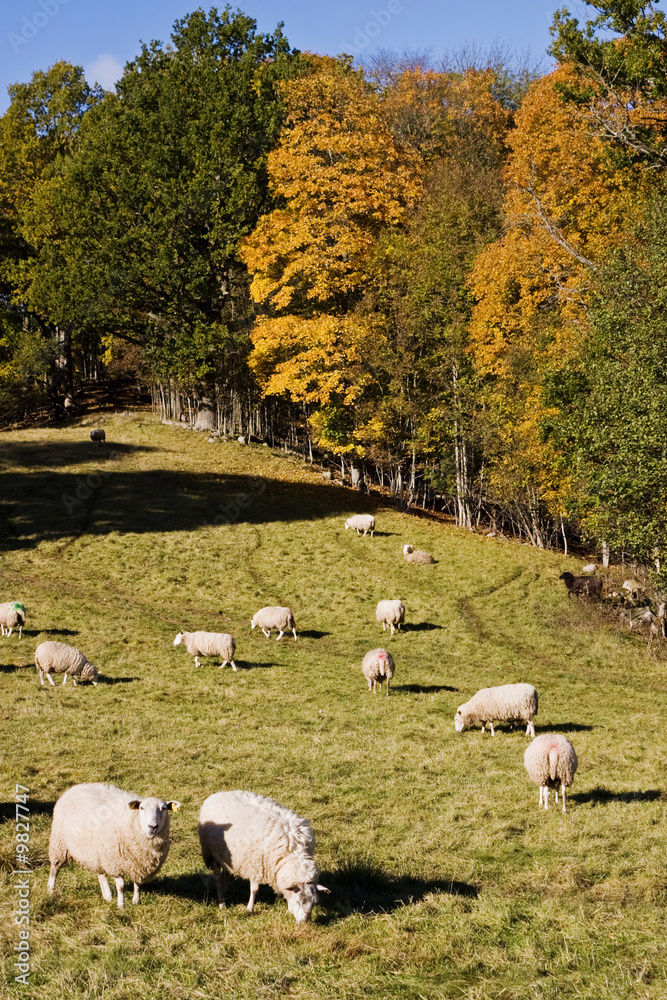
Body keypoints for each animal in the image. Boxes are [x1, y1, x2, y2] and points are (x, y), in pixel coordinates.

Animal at [48, 782, 180, 907]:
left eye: (164, 808)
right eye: (142, 808)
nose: (152, 826)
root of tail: (76, 787)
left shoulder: (138, 864)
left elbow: (137, 884)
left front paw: (136, 902)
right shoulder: (115, 862)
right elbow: (121, 886)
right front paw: (121, 905)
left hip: (97, 851)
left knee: (101, 874)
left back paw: (107, 896)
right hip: (59, 842)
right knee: (55, 867)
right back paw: (50, 889)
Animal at [198, 789, 328, 923]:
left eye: (314, 903)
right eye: (299, 901)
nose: (305, 922)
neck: (293, 853)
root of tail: (218, 793)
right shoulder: (256, 865)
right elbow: (254, 889)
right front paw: (250, 908)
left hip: (227, 854)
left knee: (227, 871)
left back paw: (226, 890)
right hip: (211, 853)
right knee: (217, 877)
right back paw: (221, 903)